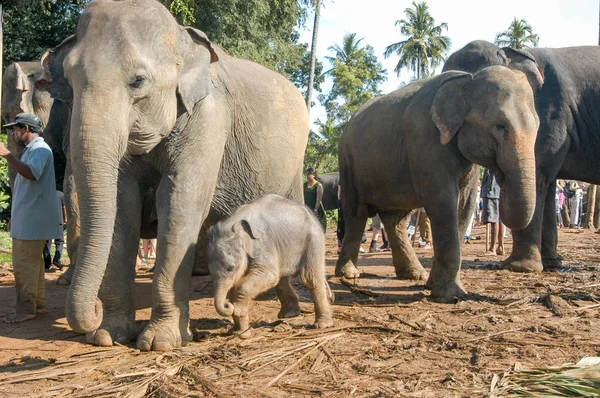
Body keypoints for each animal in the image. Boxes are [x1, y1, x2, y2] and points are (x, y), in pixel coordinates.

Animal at [37, 0, 308, 350]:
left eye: (138, 81)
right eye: (69, 81)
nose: (93, 313)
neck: (181, 38)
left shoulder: (209, 117)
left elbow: (179, 203)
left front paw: (161, 343)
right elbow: (122, 206)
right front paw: (109, 336)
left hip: (295, 166)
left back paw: (290, 312)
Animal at [207, 194, 336, 338]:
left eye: (230, 268)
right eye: (209, 271)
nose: (227, 305)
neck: (233, 223)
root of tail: (310, 213)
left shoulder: (263, 243)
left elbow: (267, 276)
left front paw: (243, 333)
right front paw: (235, 331)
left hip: (313, 240)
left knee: (310, 279)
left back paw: (321, 325)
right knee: (281, 280)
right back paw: (288, 314)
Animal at [336, 66, 540, 302]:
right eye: (499, 126)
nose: (499, 176)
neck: (467, 79)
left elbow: (464, 205)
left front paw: (433, 286)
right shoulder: (425, 138)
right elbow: (442, 201)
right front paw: (450, 295)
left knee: (395, 219)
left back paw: (414, 274)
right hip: (348, 162)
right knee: (356, 213)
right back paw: (349, 274)